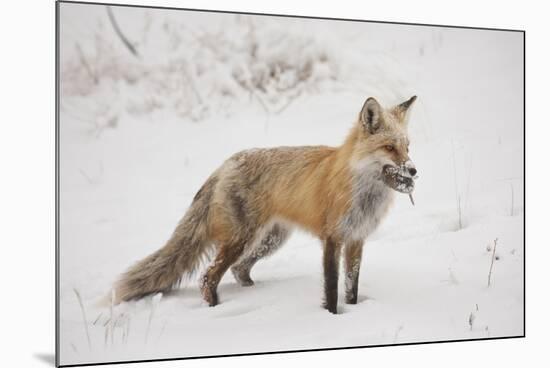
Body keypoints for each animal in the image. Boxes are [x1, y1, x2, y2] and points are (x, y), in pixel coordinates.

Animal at [115, 95, 418, 314]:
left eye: (407, 147)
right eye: (390, 148)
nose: (414, 171)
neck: (363, 191)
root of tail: (226, 163)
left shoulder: (356, 239)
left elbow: (351, 286)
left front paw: (354, 310)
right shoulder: (332, 238)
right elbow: (332, 287)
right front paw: (332, 317)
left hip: (270, 239)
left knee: (239, 270)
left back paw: (255, 296)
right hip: (241, 238)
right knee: (208, 277)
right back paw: (215, 309)